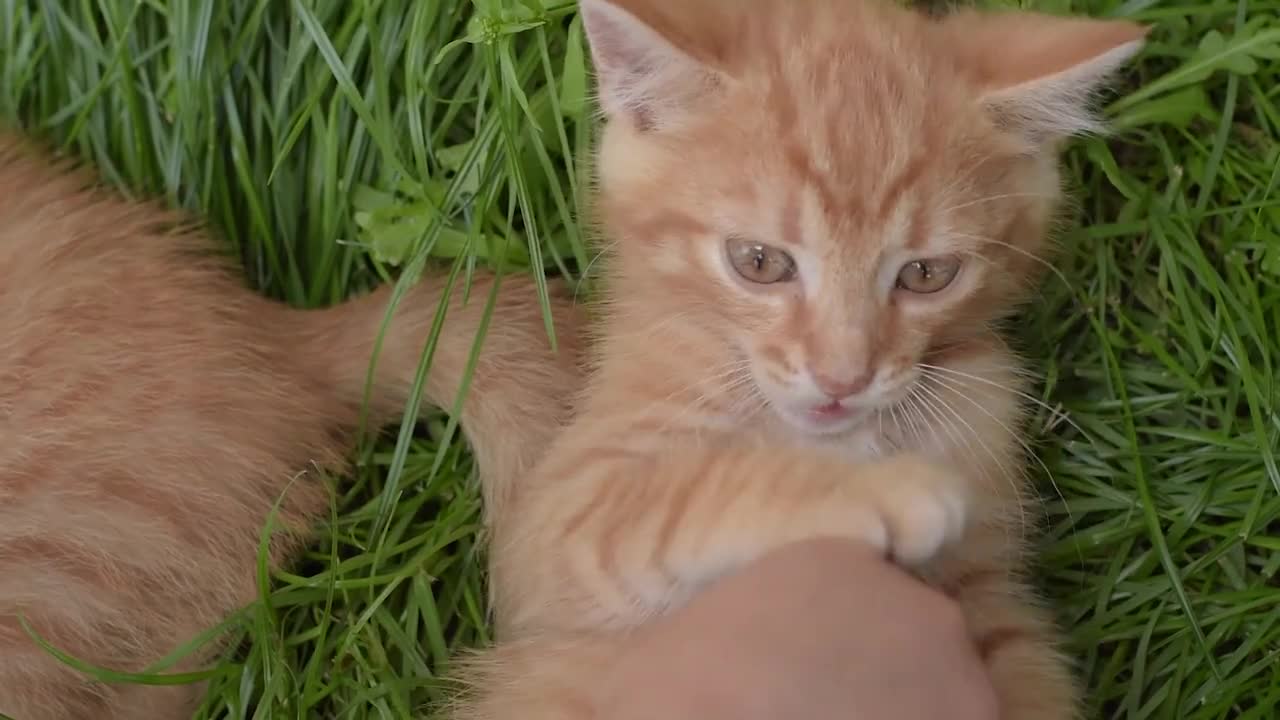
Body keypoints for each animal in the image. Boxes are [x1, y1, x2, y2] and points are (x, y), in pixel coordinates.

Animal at [453, 1, 1152, 717]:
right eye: (759, 262)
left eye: (927, 274)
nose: (844, 378)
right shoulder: (550, 532)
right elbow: (681, 494)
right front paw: (879, 489)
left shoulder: (991, 581)